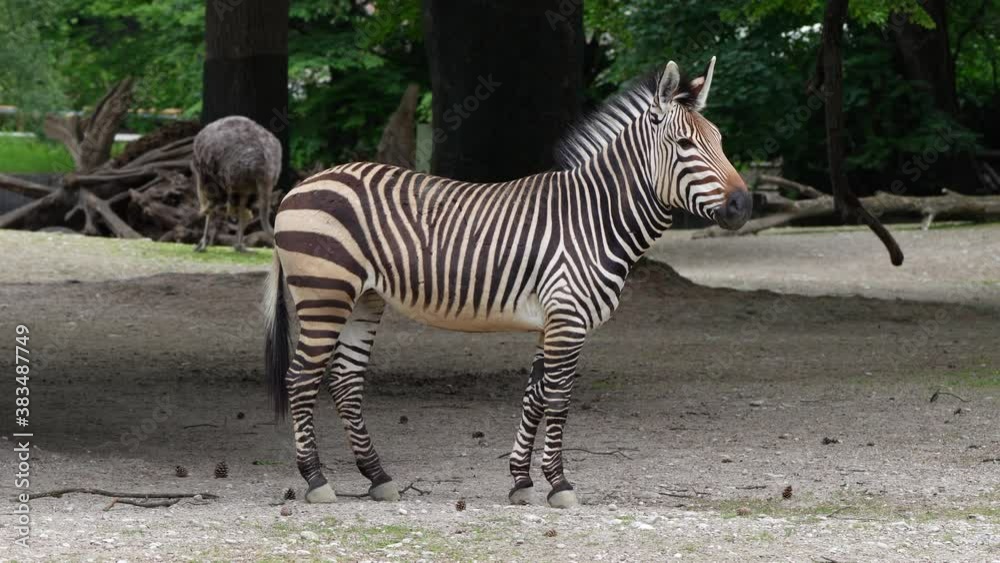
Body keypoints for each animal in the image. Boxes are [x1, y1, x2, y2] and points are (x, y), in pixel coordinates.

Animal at [263, 57, 750, 508]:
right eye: (684, 144)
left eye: (720, 142)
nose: (743, 205)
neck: (595, 218)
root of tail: (299, 186)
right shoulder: (568, 319)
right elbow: (559, 398)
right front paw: (559, 484)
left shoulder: (549, 321)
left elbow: (534, 396)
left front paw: (521, 481)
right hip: (324, 294)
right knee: (301, 378)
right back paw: (316, 480)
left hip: (364, 298)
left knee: (345, 380)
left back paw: (377, 477)